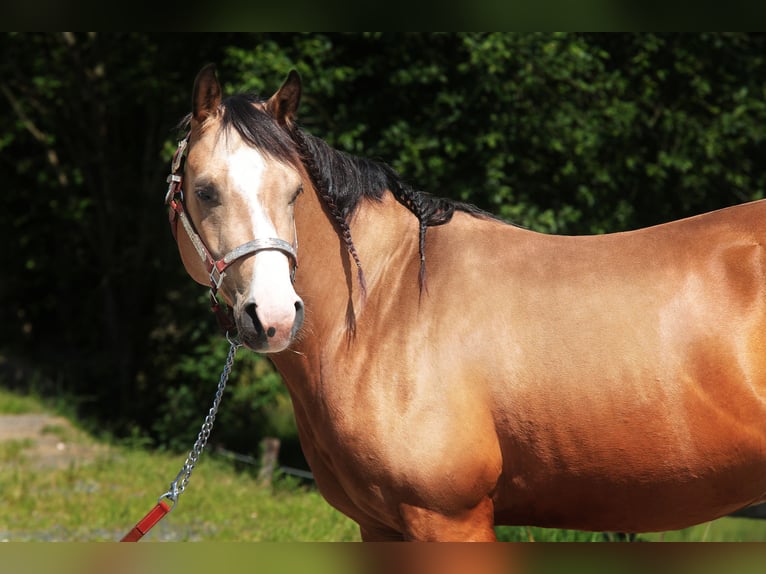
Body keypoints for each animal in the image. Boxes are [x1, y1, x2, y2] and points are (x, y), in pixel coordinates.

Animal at [166, 65, 766, 544]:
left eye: (294, 192)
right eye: (205, 190)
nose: (273, 316)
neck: (389, 303)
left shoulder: (449, 519)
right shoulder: (379, 525)